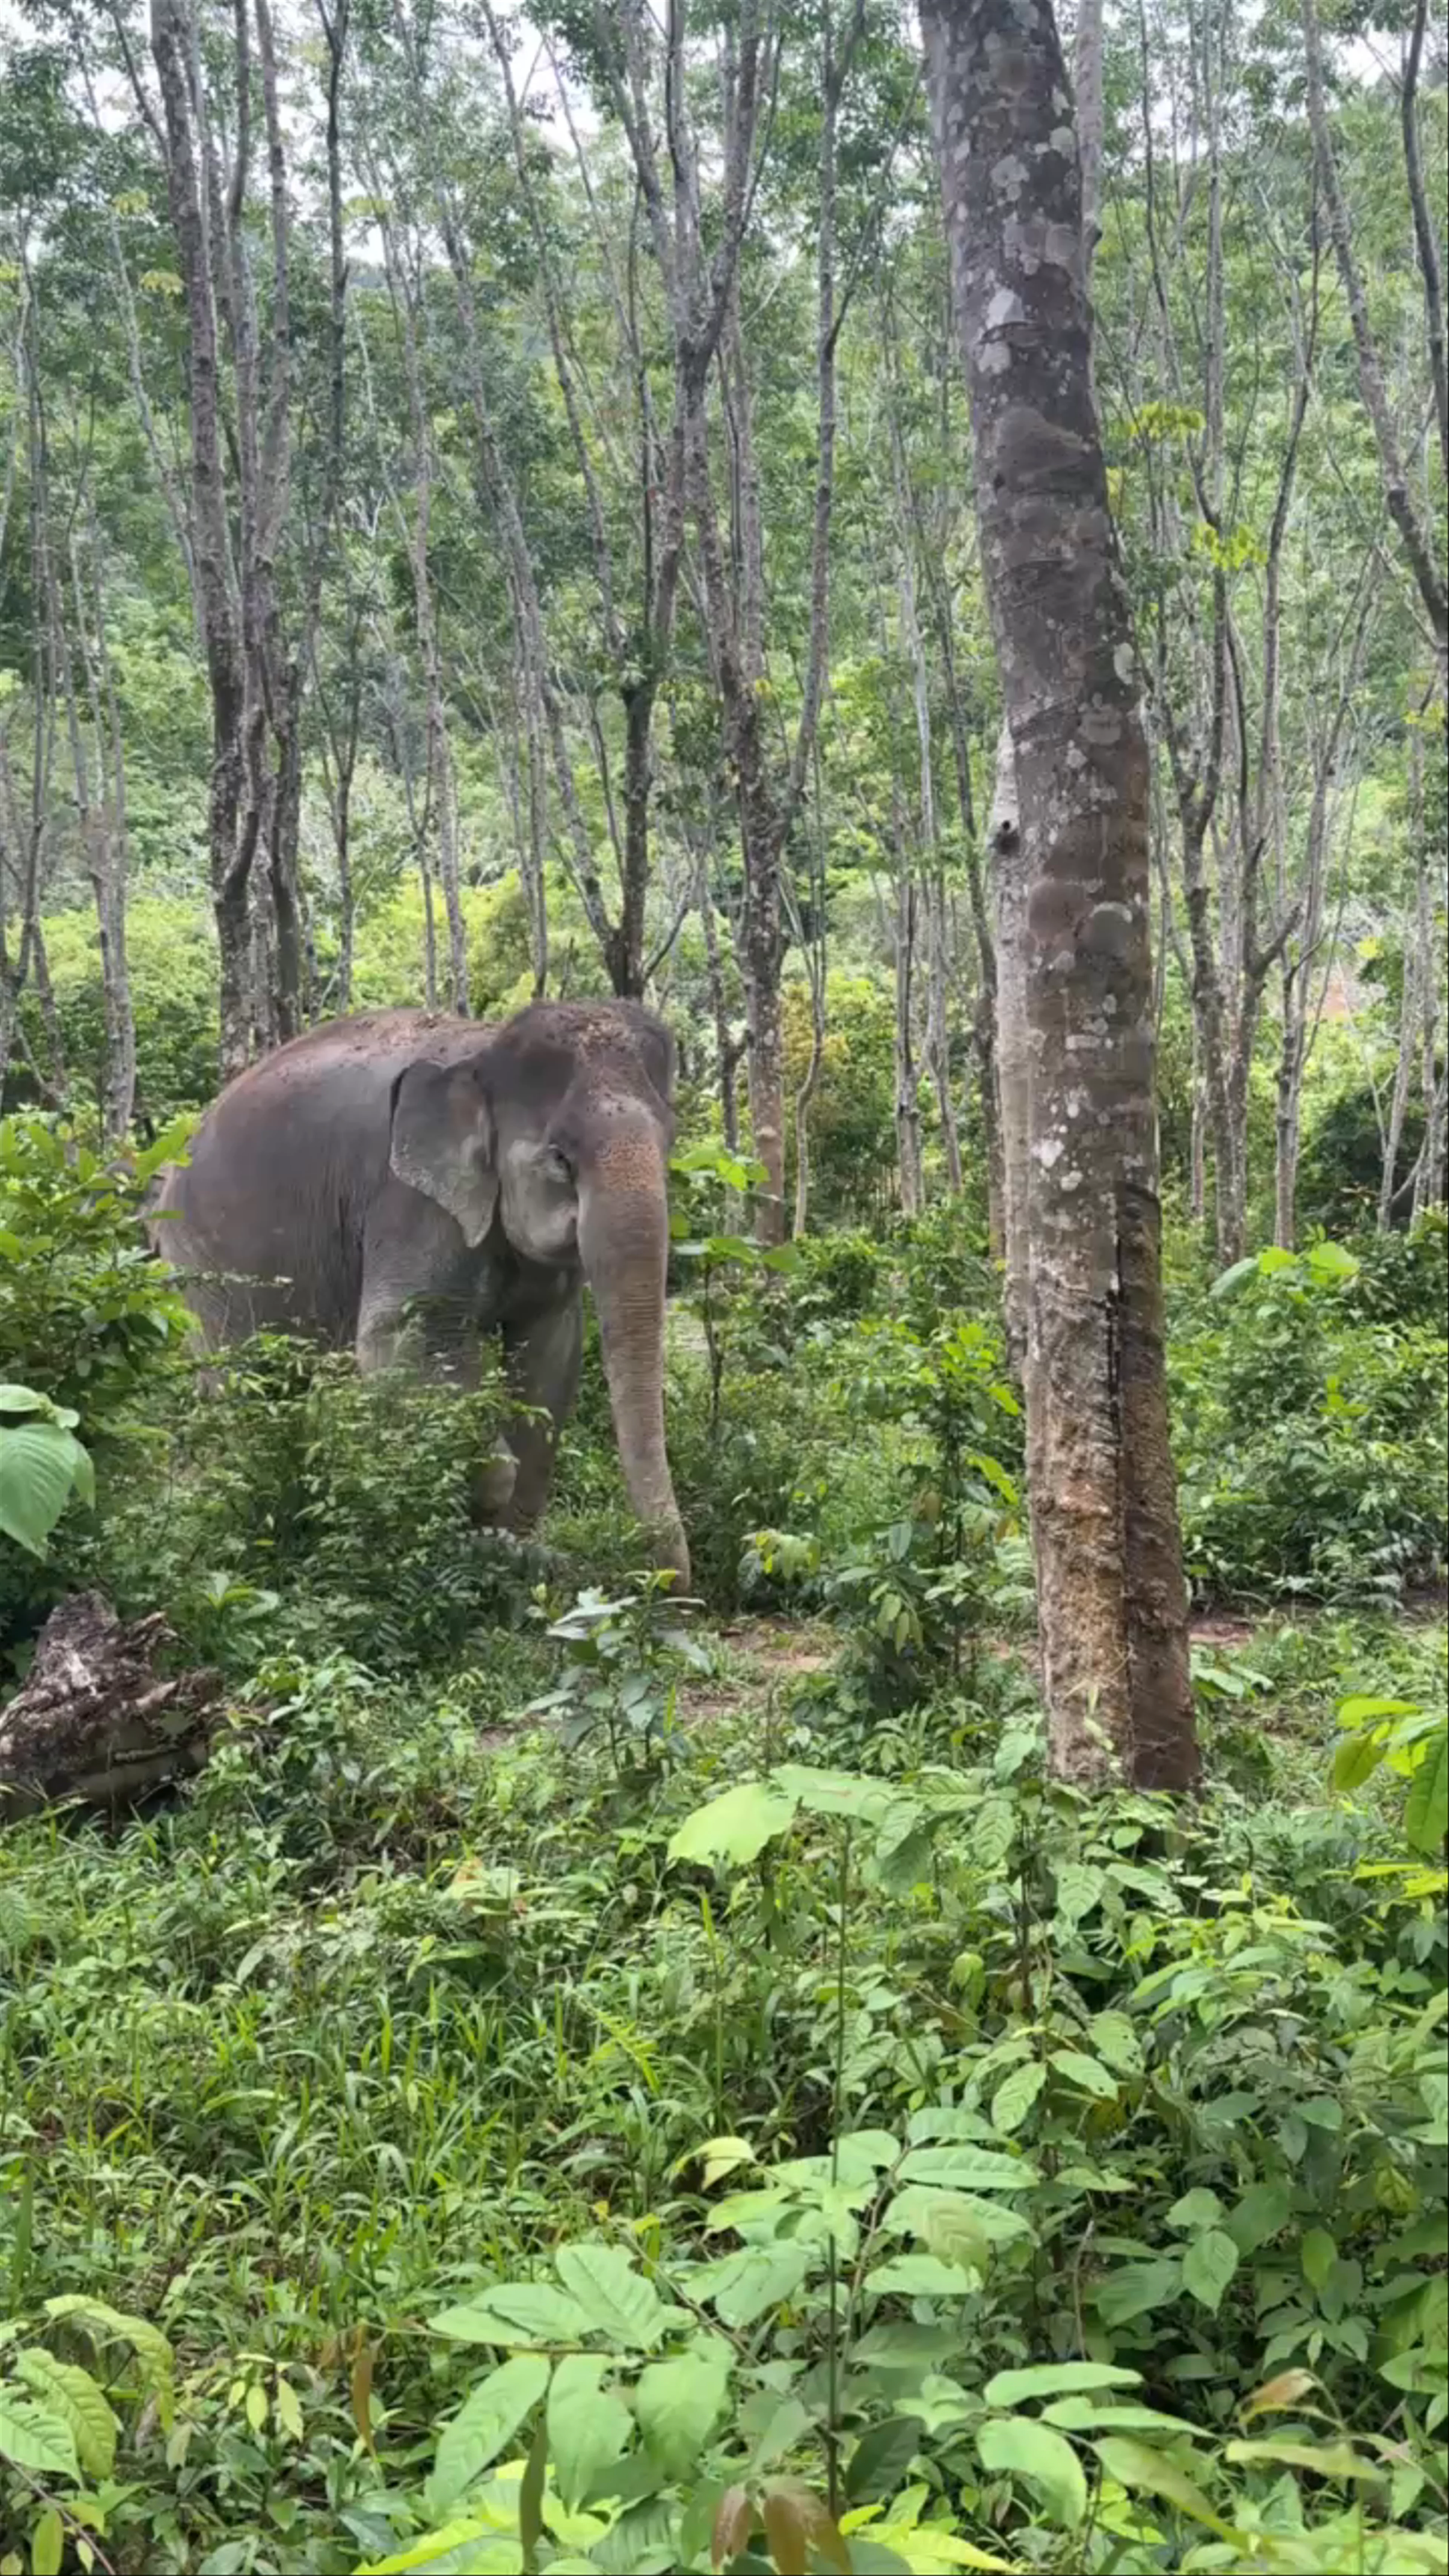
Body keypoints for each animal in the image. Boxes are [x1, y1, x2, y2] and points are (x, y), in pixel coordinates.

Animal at [148, 999, 690, 1584]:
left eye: (670, 1142)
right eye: (560, 1158)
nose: (666, 1584)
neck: (485, 1050)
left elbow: (550, 1351)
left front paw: (520, 1552)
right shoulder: (408, 1202)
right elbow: (400, 1339)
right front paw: (476, 1532)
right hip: (200, 1265)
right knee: (243, 1383)